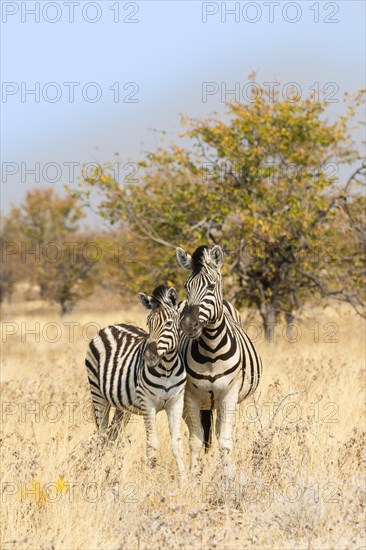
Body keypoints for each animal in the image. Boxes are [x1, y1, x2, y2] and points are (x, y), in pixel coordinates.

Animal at [85, 286, 186, 476]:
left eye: (169, 324)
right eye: (149, 323)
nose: (149, 357)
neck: (167, 368)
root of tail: (111, 326)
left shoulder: (176, 402)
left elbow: (177, 443)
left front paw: (186, 479)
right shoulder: (147, 403)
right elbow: (152, 444)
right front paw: (150, 478)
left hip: (122, 406)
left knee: (112, 436)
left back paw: (112, 469)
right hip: (98, 394)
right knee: (101, 435)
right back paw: (98, 471)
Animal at [176, 246, 262, 478]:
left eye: (211, 286)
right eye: (186, 286)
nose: (188, 325)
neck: (212, 350)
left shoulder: (229, 395)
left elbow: (224, 441)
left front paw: (228, 477)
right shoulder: (190, 397)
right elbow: (196, 441)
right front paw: (194, 476)